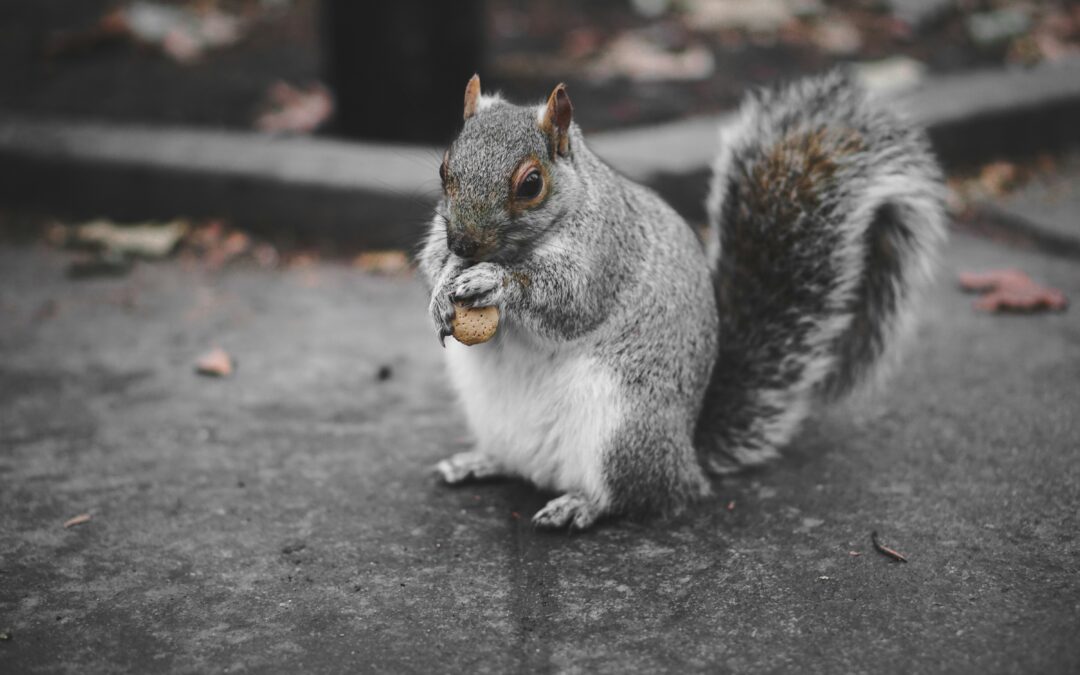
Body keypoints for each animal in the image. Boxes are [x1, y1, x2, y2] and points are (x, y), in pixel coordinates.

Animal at [418, 72, 946, 530]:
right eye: (443, 170)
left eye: (531, 184)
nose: (464, 243)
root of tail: (687, 456)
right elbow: (431, 261)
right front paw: (442, 287)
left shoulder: (606, 253)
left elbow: (569, 302)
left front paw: (495, 281)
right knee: (518, 463)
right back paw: (477, 462)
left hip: (623, 428)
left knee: (639, 495)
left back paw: (581, 505)